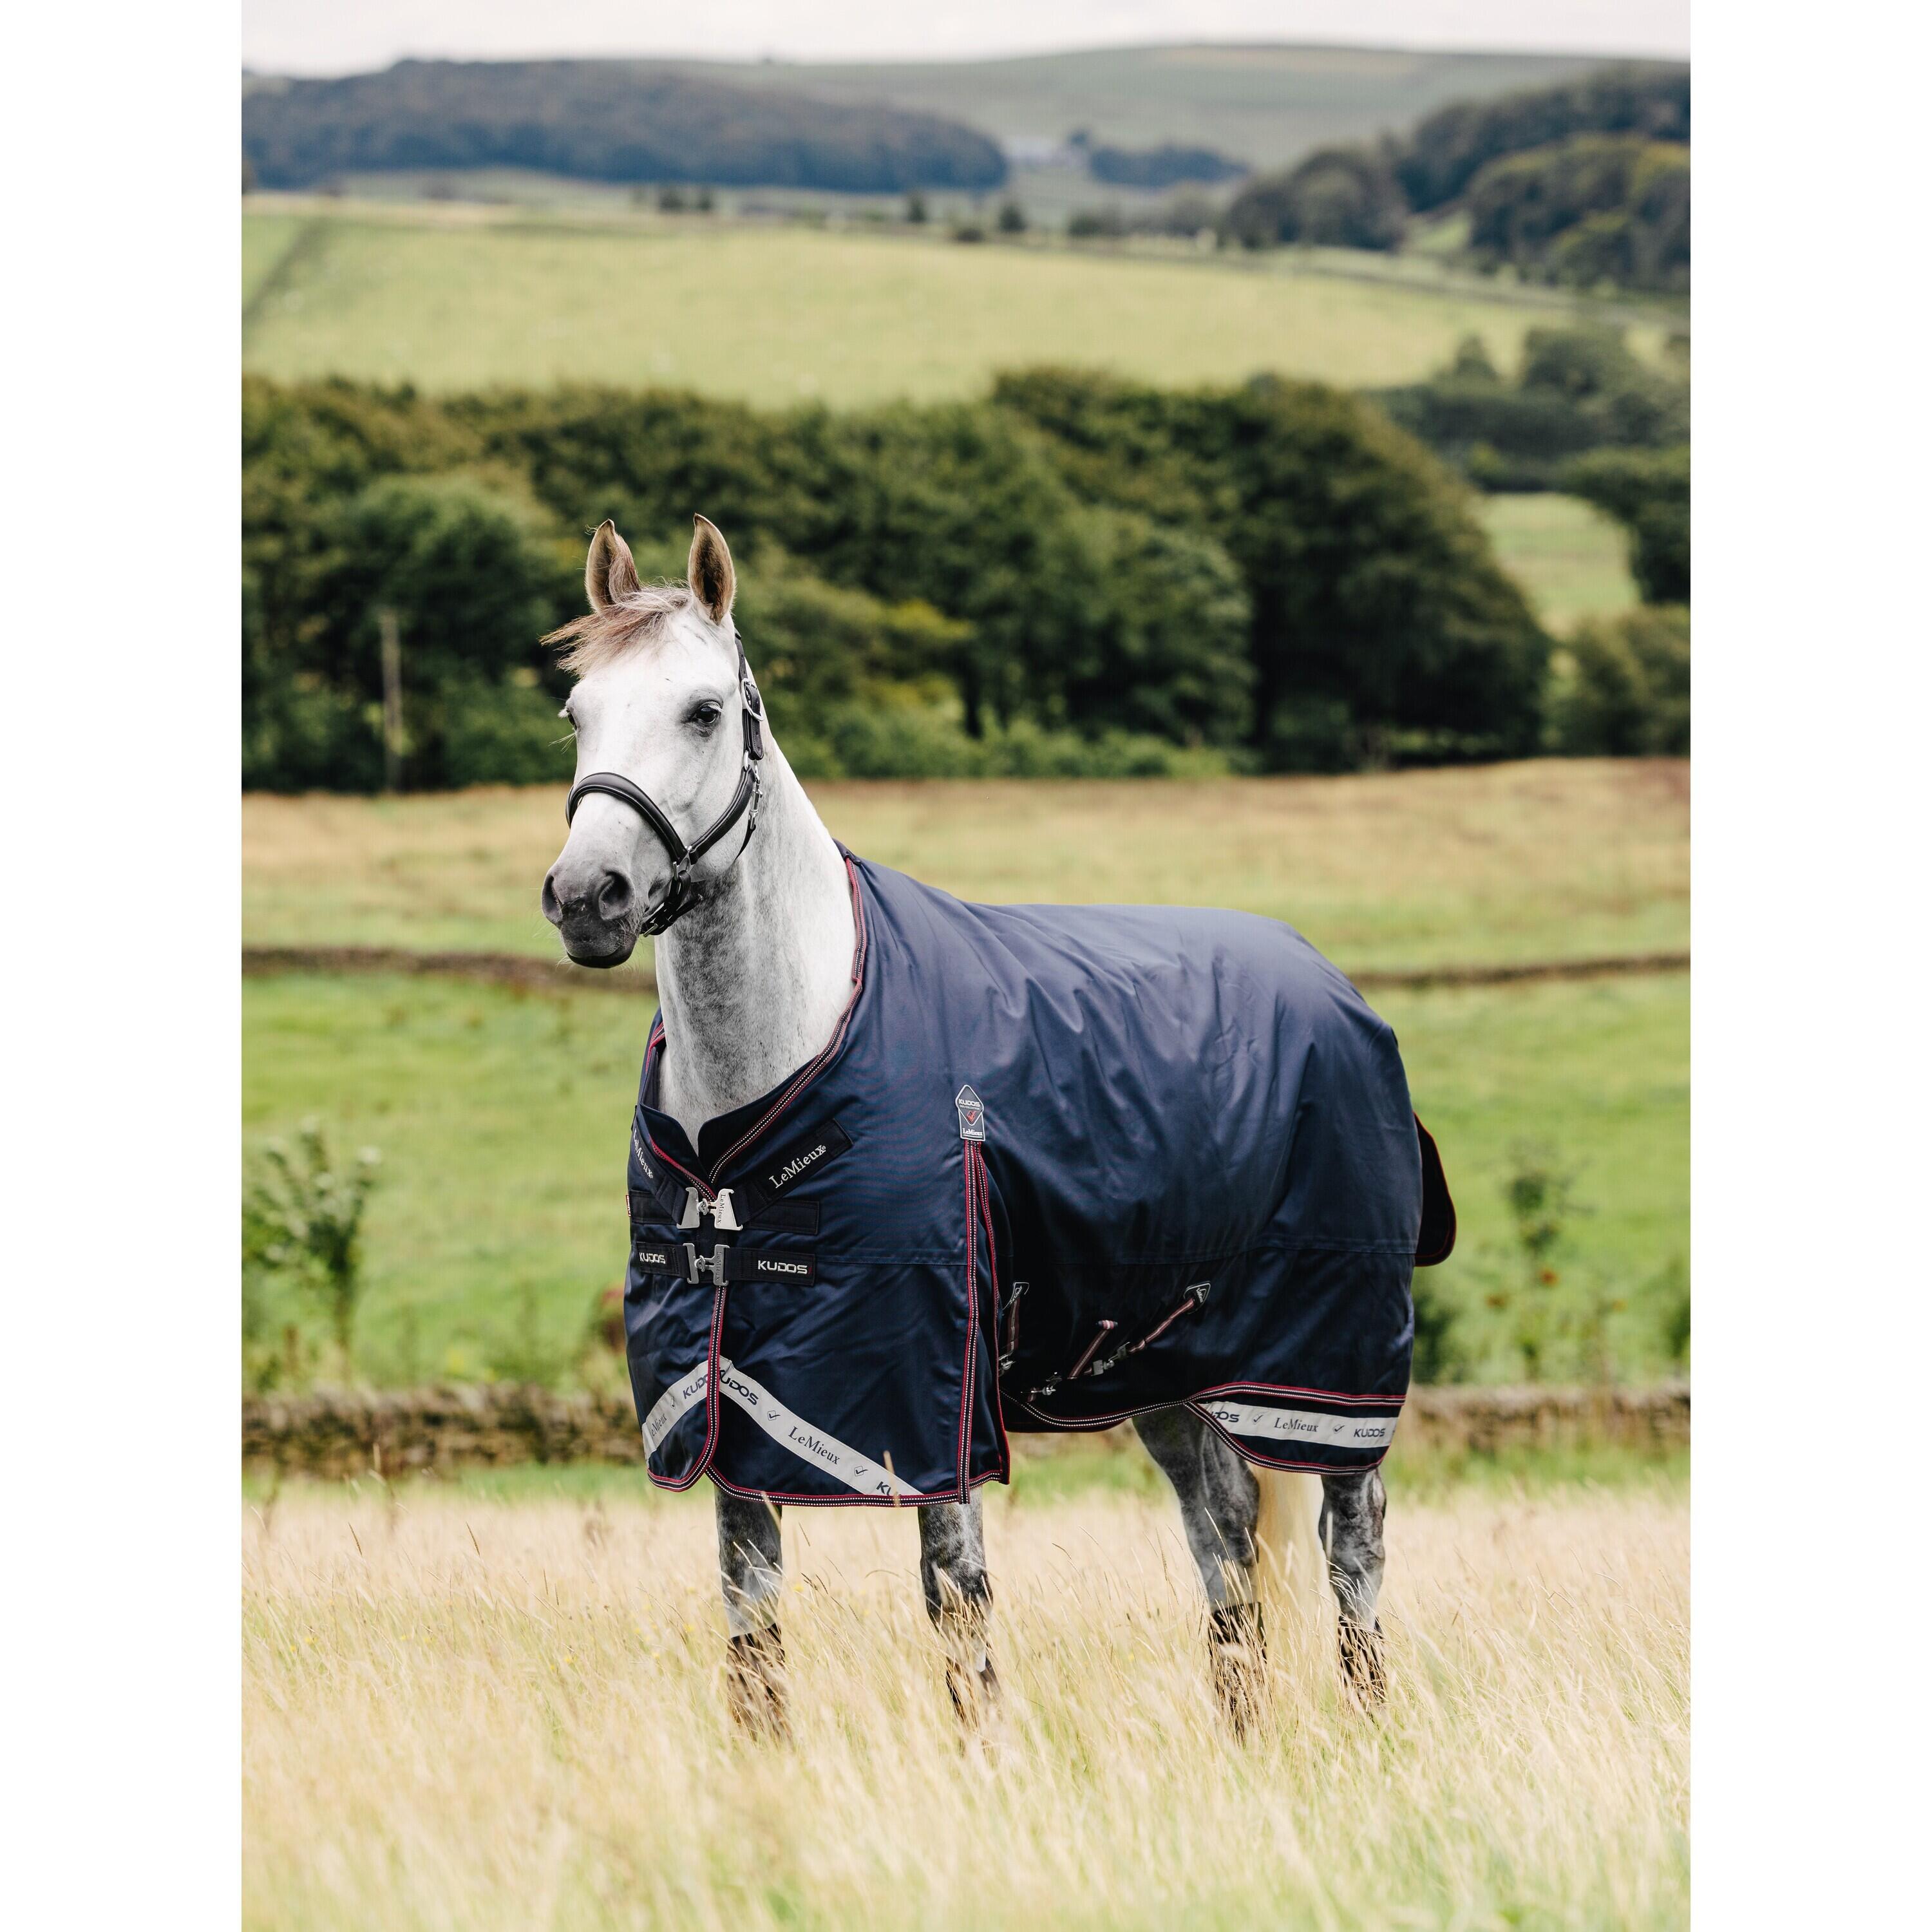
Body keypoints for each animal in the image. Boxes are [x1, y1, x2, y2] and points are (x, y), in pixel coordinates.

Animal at [541, 515, 1439, 1732]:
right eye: (577, 712)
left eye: (705, 710)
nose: (588, 897)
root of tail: (1335, 988)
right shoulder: (728, 1396)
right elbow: (751, 1611)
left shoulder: (930, 1390)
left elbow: (956, 1601)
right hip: (1168, 1375)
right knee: (1227, 1552)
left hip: (1329, 1368)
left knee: (1354, 1552)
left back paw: (1369, 1728)